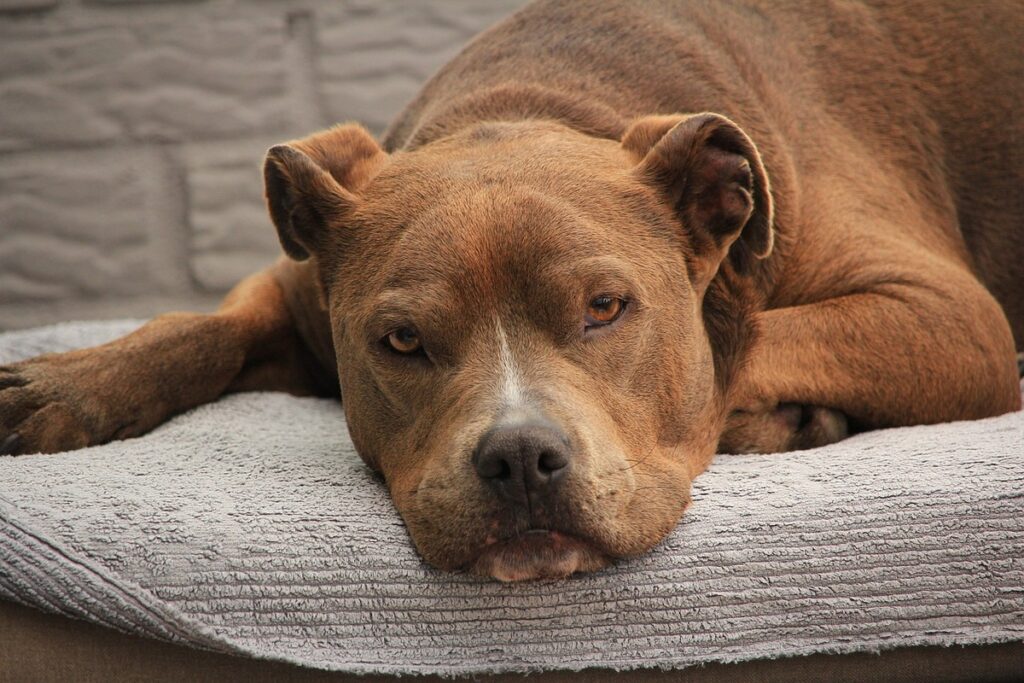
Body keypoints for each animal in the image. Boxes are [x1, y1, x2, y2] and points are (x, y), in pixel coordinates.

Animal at [2, 0, 1024, 581]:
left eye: (607, 308)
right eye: (401, 341)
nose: (521, 459)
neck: (534, 98)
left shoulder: (951, 316)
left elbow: (745, 339)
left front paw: (760, 411)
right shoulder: (296, 287)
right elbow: (198, 325)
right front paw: (64, 383)